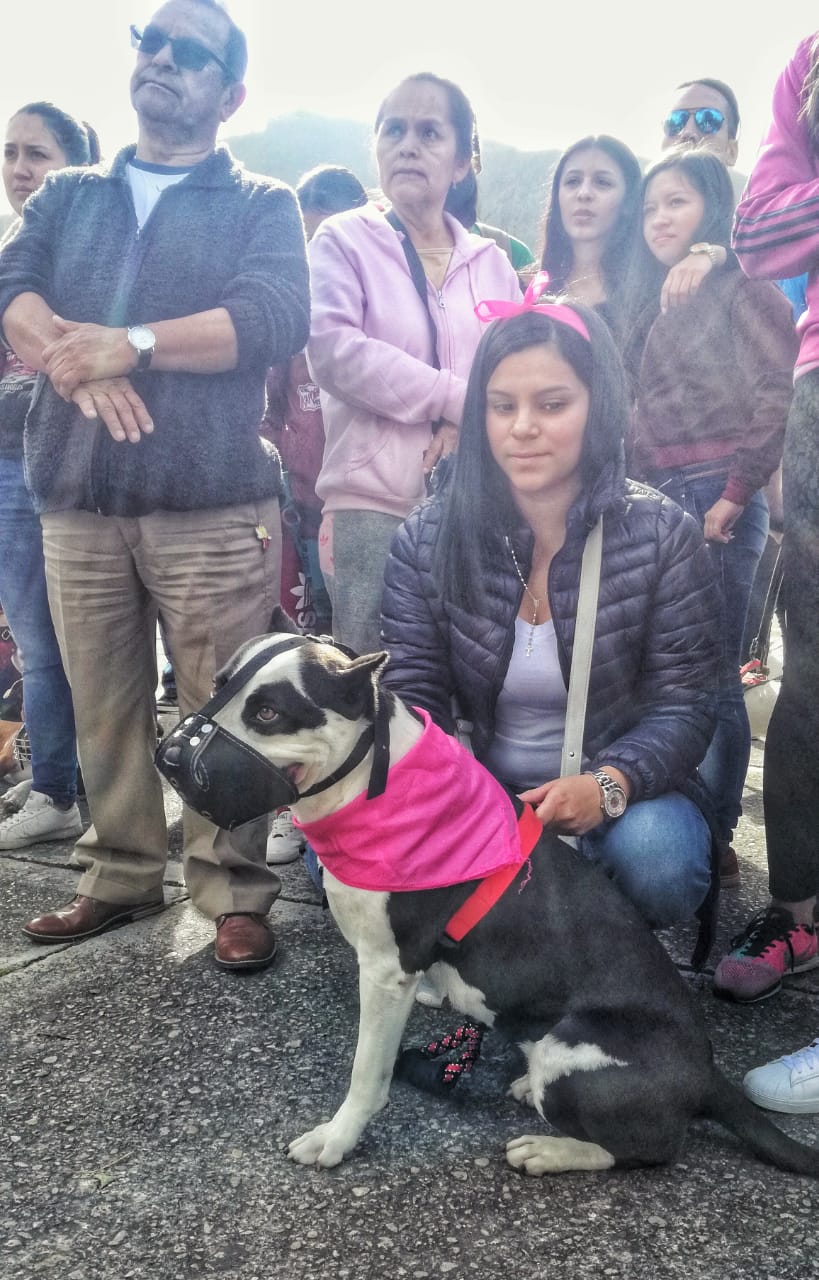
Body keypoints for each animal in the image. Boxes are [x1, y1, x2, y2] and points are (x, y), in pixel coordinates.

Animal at [156, 629, 819, 1177]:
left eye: (268, 712)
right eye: (218, 685)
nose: (169, 759)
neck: (376, 781)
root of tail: (707, 1074)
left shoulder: (385, 970)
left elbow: (368, 1071)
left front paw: (338, 1138)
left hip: (574, 1052)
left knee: (648, 1148)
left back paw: (552, 1150)